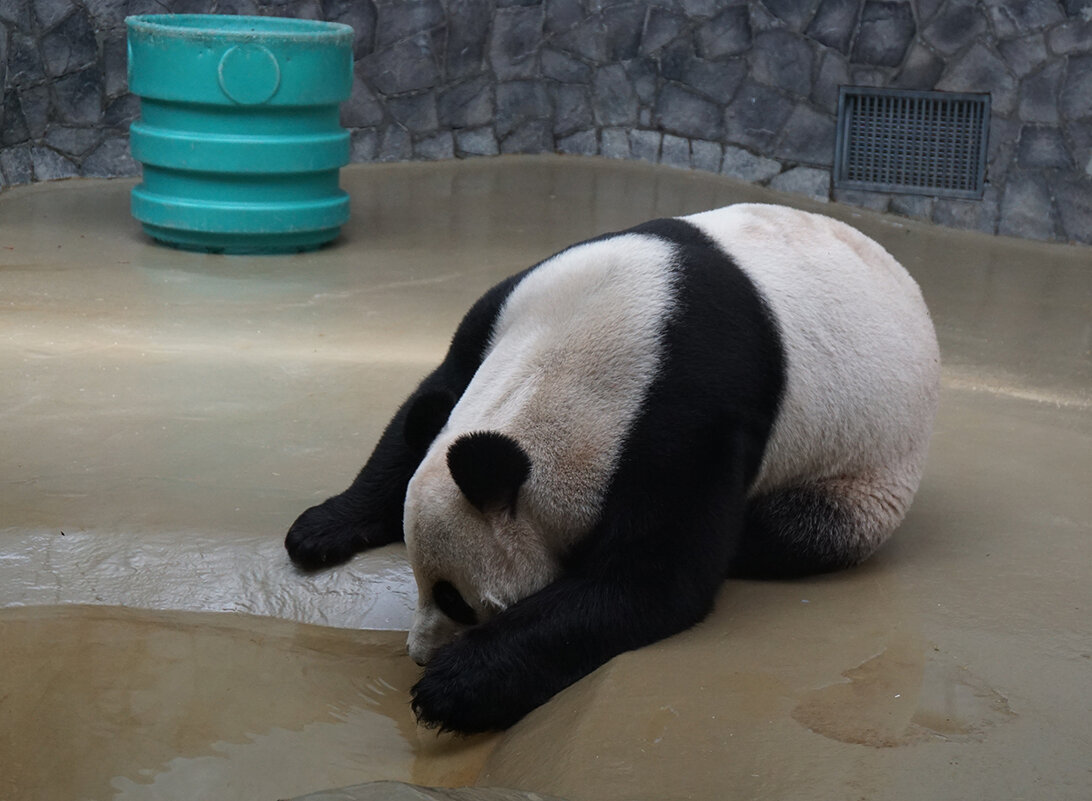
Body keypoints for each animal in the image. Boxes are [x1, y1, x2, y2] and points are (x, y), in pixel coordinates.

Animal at [286, 204, 943, 737]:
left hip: (871, 468)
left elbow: (652, 580)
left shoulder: (694, 421)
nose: (419, 652)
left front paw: (453, 685)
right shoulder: (501, 315)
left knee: (797, 530)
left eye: (455, 600)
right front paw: (318, 529)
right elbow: (425, 407)